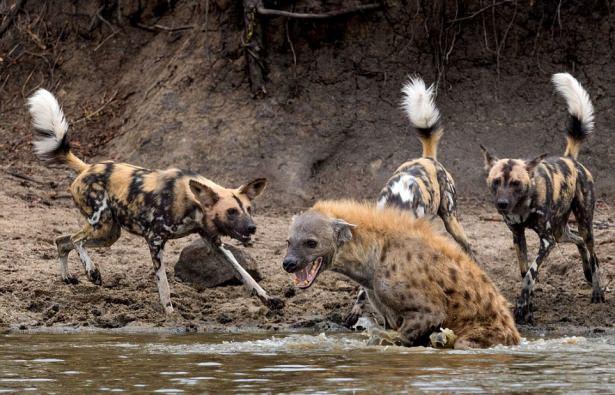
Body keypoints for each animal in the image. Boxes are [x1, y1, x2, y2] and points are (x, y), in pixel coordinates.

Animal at [27, 89, 268, 316]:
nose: (252, 227)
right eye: (231, 211)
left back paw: (68, 277)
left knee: (62, 240)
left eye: (248, 209)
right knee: (76, 240)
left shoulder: (214, 242)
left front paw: (268, 299)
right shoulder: (155, 240)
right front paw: (170, 314)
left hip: (109, 234)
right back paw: (92, 272)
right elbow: (164, 286)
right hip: (101, 224)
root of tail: (86, 167)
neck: (192, 203)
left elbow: (243, 273)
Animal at [282, 201, 520, 350]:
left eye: (311, 243)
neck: (372, 260)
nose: (288, 263)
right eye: (288, 241)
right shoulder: (381, 303)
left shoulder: (427, 308)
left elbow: (407, 329)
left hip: (490, 331)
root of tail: (514, 331)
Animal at [344, 76, 474, 328]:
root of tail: (428, 159)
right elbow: (362, 289)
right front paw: (355, 309)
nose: (393, 324)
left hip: (450, 219)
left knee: (468, 246)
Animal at [482, 73, 608, 324]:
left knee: (591, 248)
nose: (502, 204)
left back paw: (597, 291)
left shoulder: (546, 241)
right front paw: (528, 306)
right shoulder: (518, 235)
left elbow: (531, 273)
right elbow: (525, 272)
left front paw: (523, 308)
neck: (522, 206)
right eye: (496, 182)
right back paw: (587, 272)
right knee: (579, 241)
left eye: (516, 183)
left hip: (583, 223)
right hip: (561, 231)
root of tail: (570, 159)